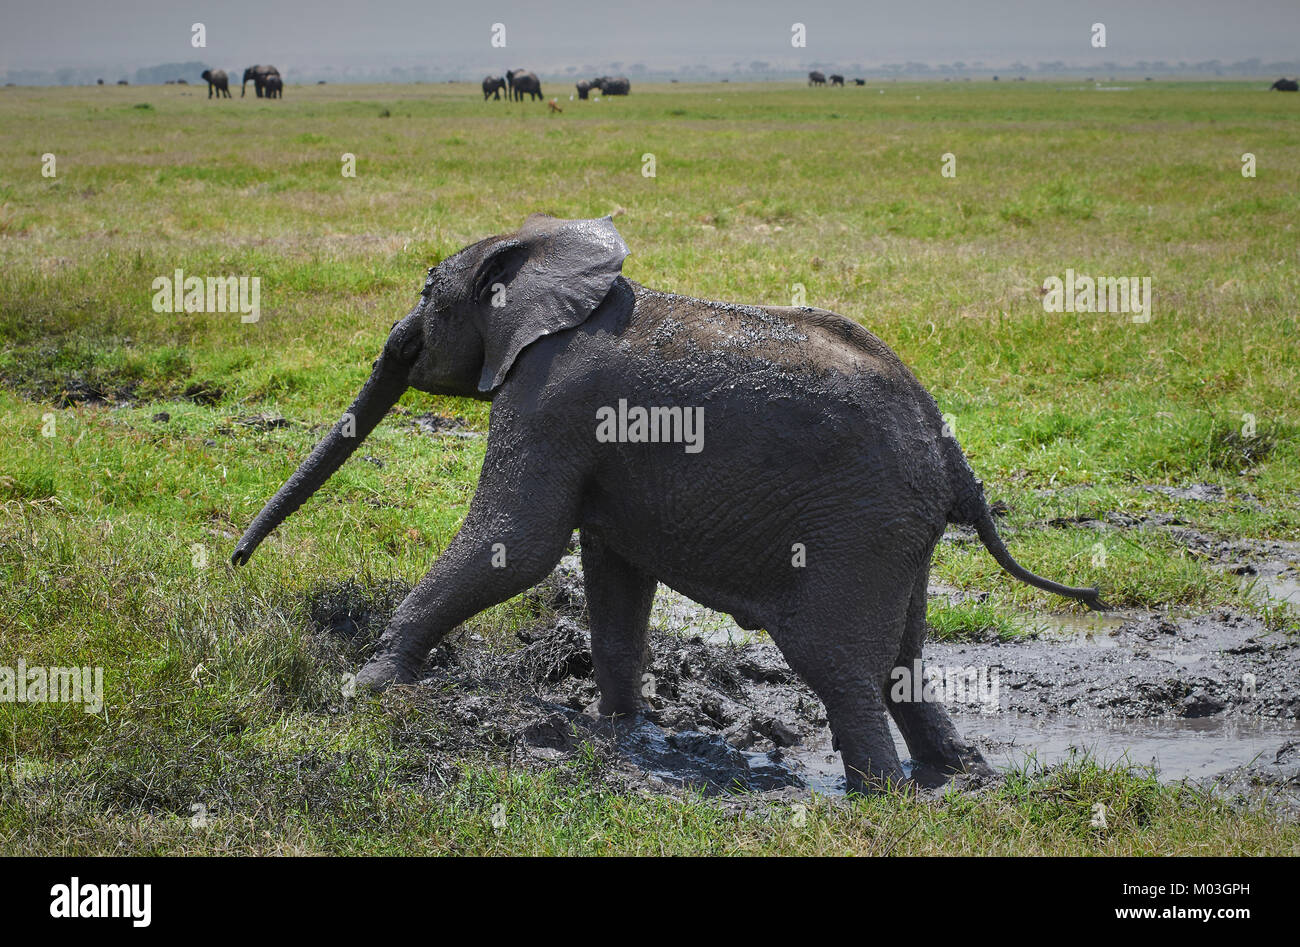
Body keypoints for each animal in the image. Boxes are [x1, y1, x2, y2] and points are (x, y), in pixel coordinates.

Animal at [231, 213, 1107, 790]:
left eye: (426, 288)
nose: (237, 559)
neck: (558, 264)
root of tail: (951, 449)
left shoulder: (548, 399)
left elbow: (517, 542)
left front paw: (366, 686)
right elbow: (613, 573)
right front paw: (625, 730)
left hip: (857, 524)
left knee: (835, 661)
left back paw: (878, 794)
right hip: (897, 531)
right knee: (904, 659)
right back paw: (958, 774)